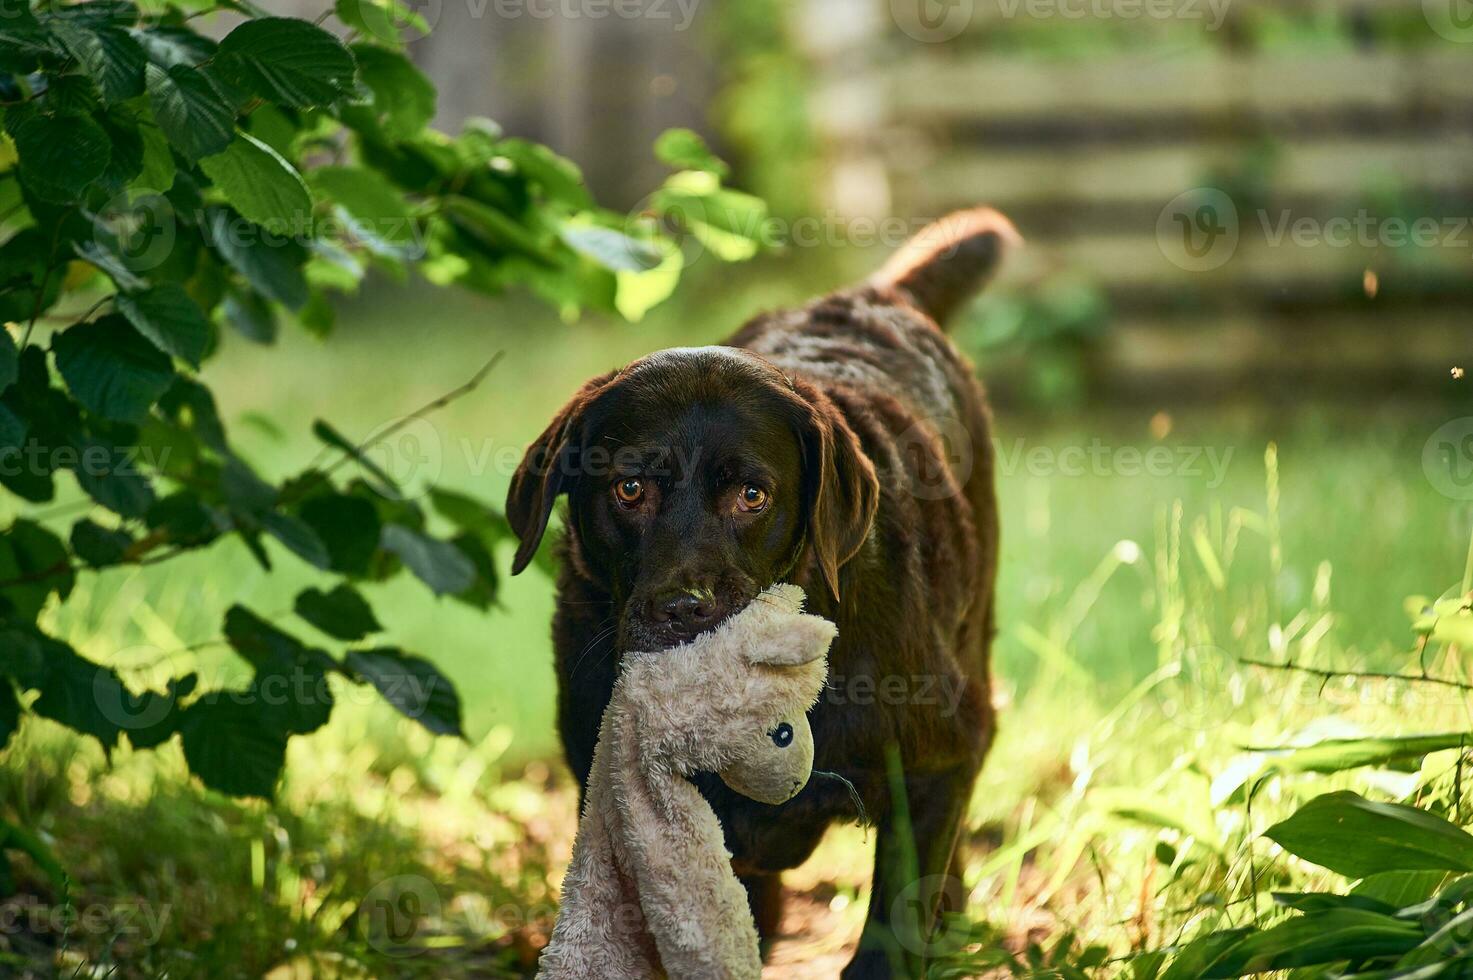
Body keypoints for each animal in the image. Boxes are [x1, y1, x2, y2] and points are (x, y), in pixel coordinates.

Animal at [512, 207, 1019, 978]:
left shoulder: (934, 765)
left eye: (752, 496)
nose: (685, 607)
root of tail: (872, 296)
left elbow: (895, 918)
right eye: (629, 488)